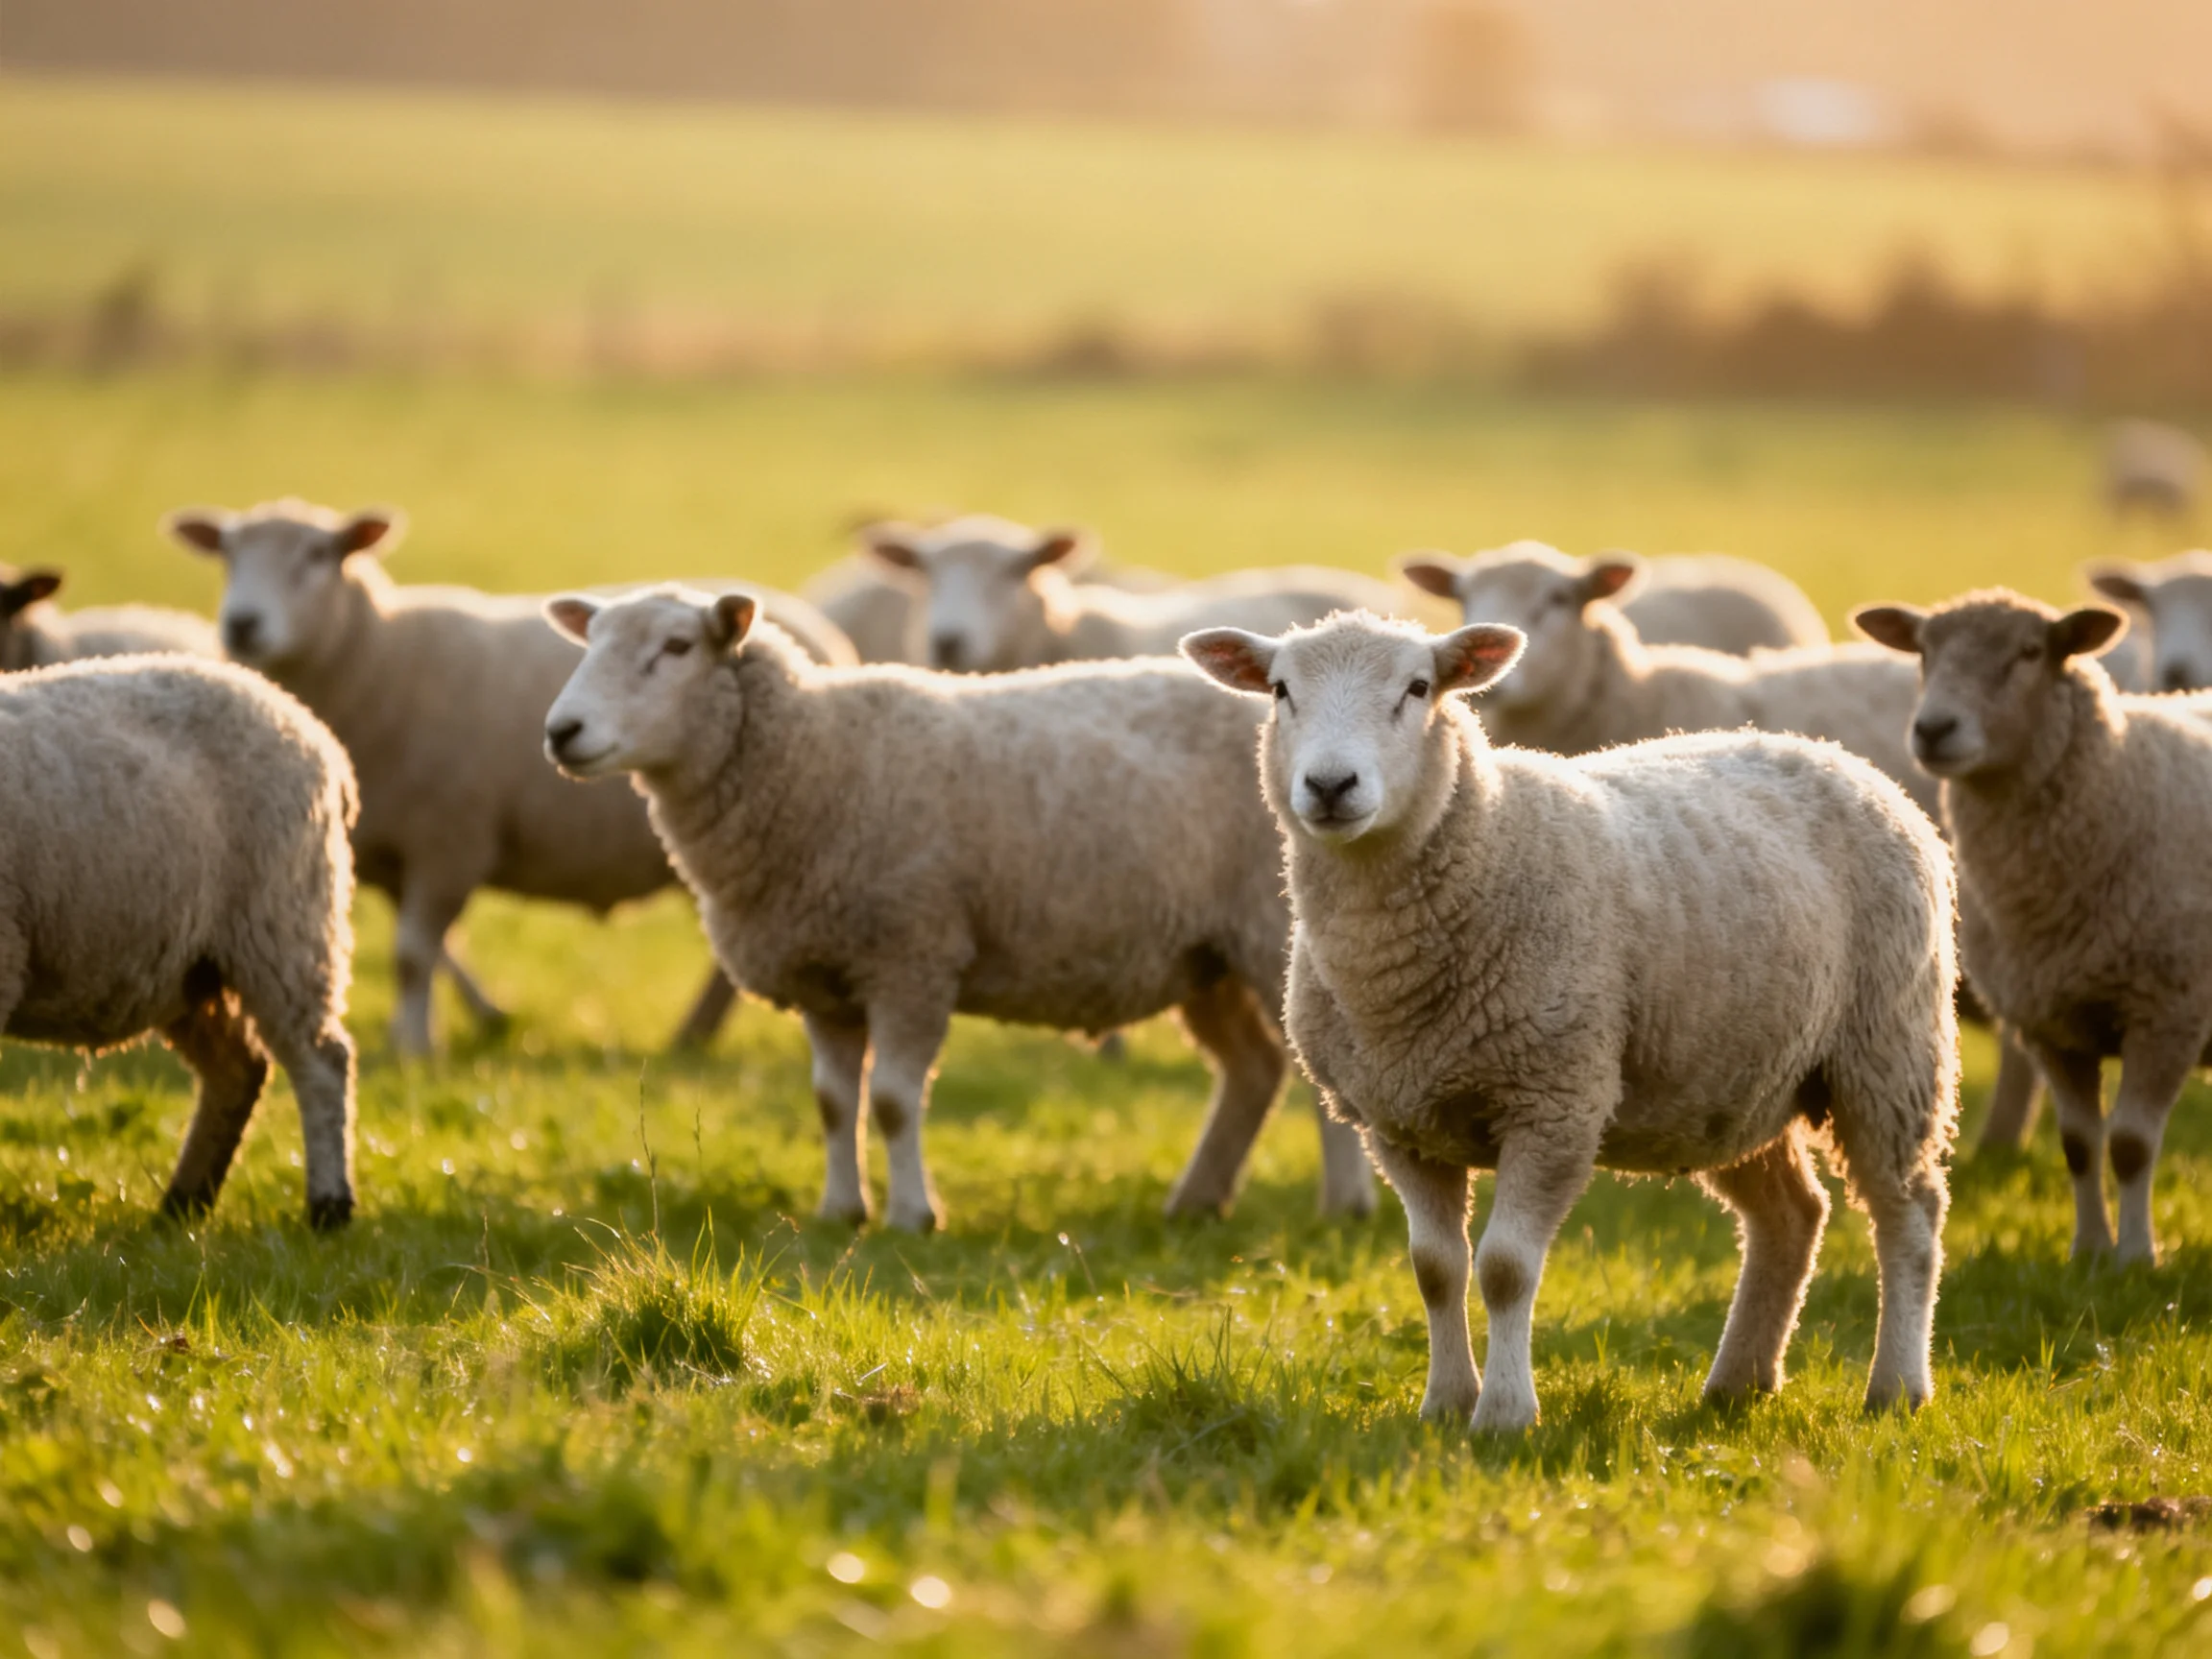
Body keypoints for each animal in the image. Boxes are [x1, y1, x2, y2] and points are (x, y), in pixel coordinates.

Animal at [0, 656, 359, 1227]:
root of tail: (313, 731)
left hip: (284, 922)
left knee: (322, 1062)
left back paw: (328, 1207)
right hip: (190, 969)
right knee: (238, 1071)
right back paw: (184, 1204)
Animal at [162, 497, 848, 1056]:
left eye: (318, 555)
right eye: (226, 554)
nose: (242, 623)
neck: (377, 657)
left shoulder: (451, 837)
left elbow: (414, 954)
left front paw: (415, 1048)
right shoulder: (397, 849)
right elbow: (439, 950)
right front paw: (477, 1017)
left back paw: (692, 1036)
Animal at [540, 584, 1378, 1231]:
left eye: (677, 646)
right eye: (591, 642)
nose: (561, 732)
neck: (808, 758)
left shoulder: (911, 954)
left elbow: (891, 1102)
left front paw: (912, 1217)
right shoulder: (826, 975)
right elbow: (832, 1103)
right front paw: (840, 1212)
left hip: (1268, 932)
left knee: (1308, 1074)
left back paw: (1343, 1206)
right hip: (1206, 954)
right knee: (1252, 1071)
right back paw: (1196, 1202)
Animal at [1181, 612, 1958, 1432]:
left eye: (1419, 687)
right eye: (1280, 690)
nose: (1330, 786)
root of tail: (1835, 756)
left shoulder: (1553, 1102)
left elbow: (1504, 1268)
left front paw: (1505, 1415)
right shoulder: (1399, 1122)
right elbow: (1435, 1269)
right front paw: (1445, 1404)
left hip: (1890, 1051)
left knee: (1909, 1215)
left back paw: (1897, 1387)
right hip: (1734, 1079)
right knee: (1792, 1216)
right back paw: (1738, 1383)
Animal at [1856, 590, 2212, 1265]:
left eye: (2029, 652)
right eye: (1924, 650)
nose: (1933, 729)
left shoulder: (2168, 1010)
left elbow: (2130, 1144)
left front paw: (2135, 1257)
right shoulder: (2051, 1021)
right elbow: (2079, 1143)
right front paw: (2089, 1252)